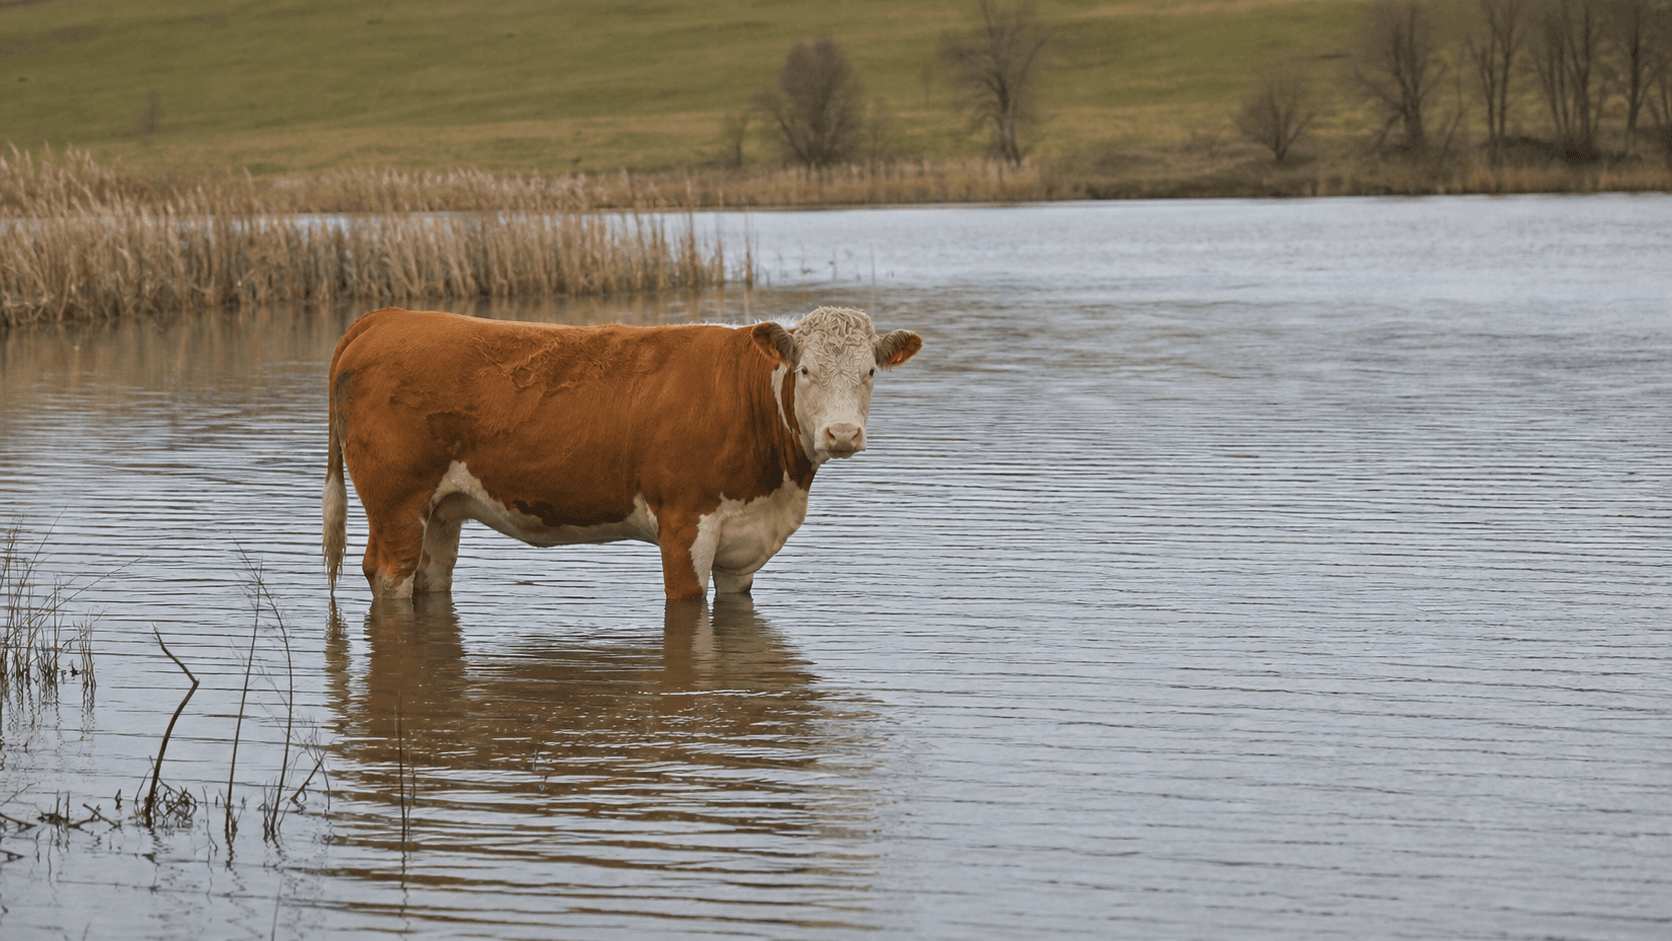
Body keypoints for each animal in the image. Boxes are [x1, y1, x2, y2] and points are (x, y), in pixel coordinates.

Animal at [322, 306, 922, 600]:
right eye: (805, 370)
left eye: (870, 372)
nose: (841, 434)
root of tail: (388, 317)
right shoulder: (684, 525)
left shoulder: (743, 547)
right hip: (398, 502)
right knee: (387, 574)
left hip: (441, 510)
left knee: (429, 576)